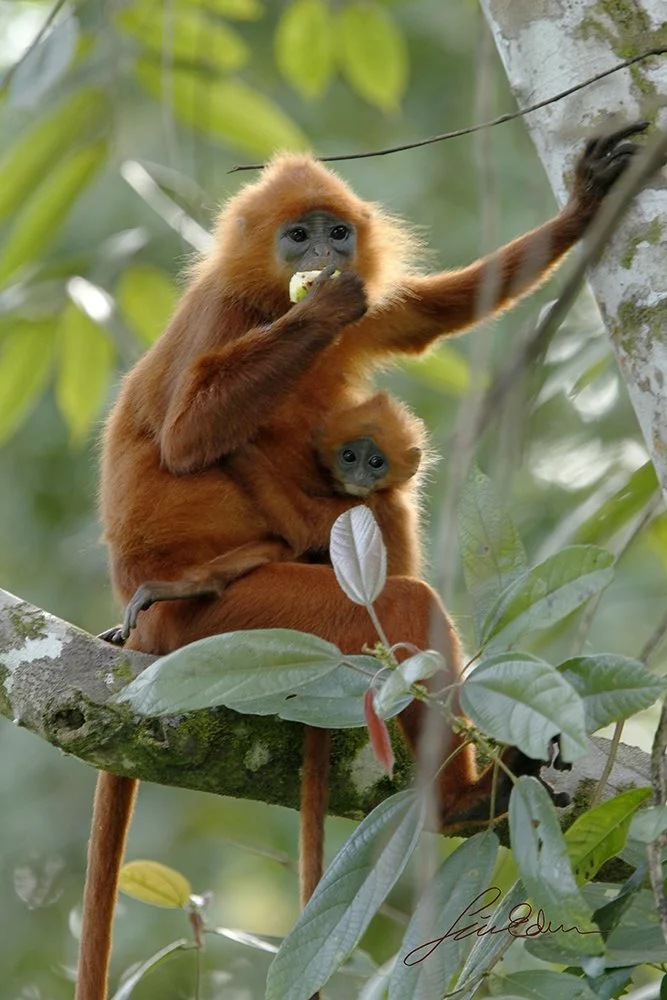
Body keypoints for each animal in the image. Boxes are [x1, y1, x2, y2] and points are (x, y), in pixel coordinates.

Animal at [79, 124, 653, 1000]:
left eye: (335, 231)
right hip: (242, 623)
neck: (269, 306)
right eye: (297, 235)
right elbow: (185, 439)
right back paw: (457, 802)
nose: (323, 251)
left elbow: (423, 317)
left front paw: (582, 206)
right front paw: (322, 304)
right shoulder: (221, 314)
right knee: (403, 605)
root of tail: (159, 637)